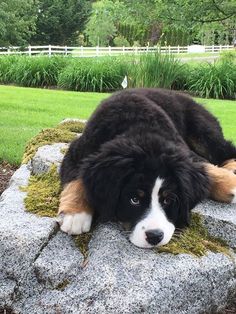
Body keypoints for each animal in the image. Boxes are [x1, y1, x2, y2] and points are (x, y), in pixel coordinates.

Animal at [57, 87, 236, 248]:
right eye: (134, 199)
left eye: (168, 200)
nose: (155, 236)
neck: (138, 125)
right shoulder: (79, 149)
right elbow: (76, 177)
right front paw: (76, 214)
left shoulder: (181, 149)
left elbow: (205, 165)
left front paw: (230, 183)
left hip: (203, 132)